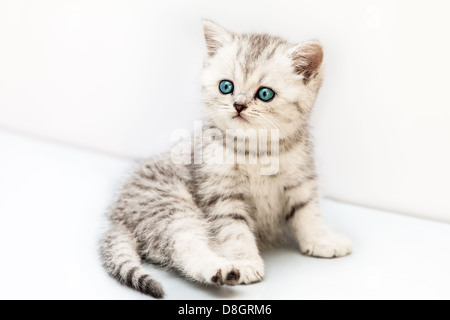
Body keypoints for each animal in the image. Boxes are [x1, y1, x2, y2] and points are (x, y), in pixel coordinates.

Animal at [101, 20, 352, 298]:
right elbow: (235, 230)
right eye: (226, 87)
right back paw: (221, 270)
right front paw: (245, 262)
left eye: (265, 94)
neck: (256, 149)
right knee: (184, 245)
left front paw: (322, 239)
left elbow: (308, 212)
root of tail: (118, 215)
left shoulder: (300, 179)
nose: (239, 105)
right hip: (170, 205)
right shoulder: (221, 192)